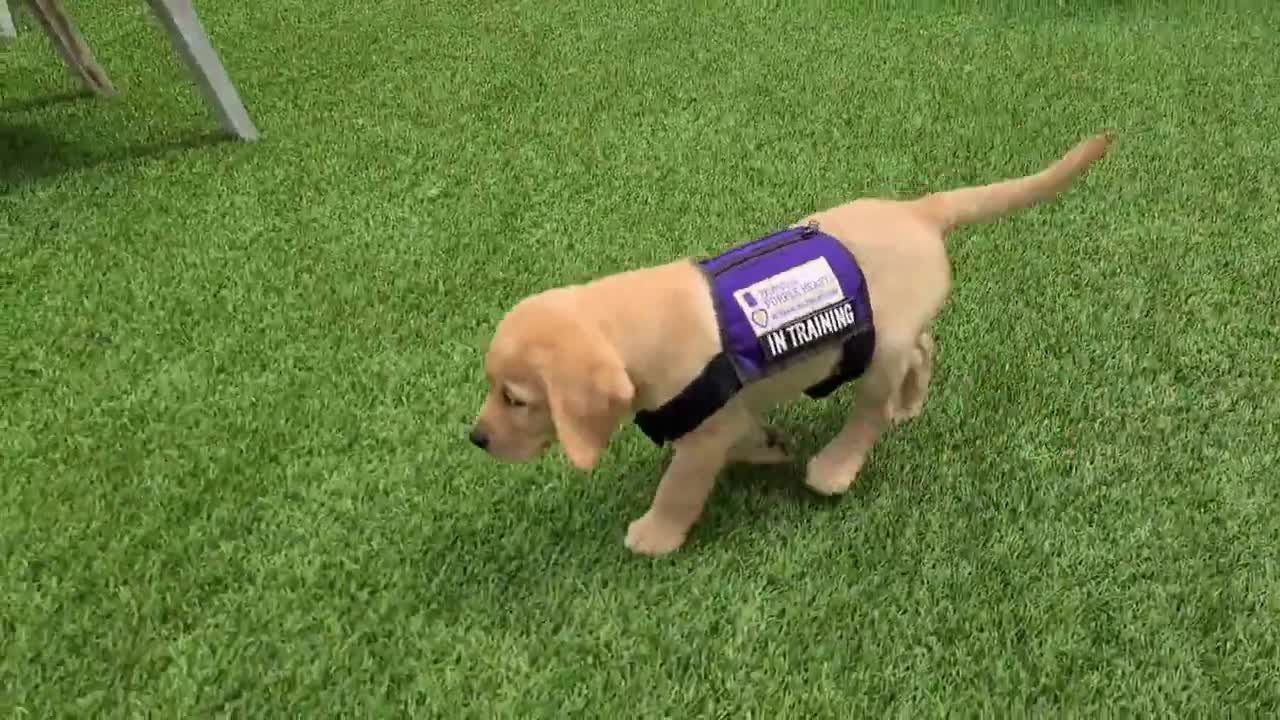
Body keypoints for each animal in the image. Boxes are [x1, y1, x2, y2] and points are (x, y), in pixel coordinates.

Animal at [468, 130, 1111, 556]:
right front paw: (767, 447)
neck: (635, 321)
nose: (476, 440)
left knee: (869, 410)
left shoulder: (702, 436)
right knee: (924, 348)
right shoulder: (725, 415)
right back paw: (910, 403)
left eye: (516, 399)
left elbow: (681, 485)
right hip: (901, 330)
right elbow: (744, 432)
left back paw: (836, 467)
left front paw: (654, 535)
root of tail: (918, 212)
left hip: (879, 351)